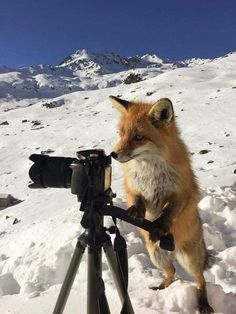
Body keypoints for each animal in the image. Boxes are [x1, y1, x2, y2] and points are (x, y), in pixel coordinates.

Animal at [109, 95, 215, 314]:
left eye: (138, 137)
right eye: (121, 134)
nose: (113, 154)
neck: (150, 171)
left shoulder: (180, 193)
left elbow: (168, 211)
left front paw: (159, 225)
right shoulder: (133, 188)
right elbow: (137, 200)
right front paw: (135, 212)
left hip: (189, 260)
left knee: (200, 279)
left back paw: (203, 302)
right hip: (156, 256)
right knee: (171, 273)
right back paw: (161, 288)